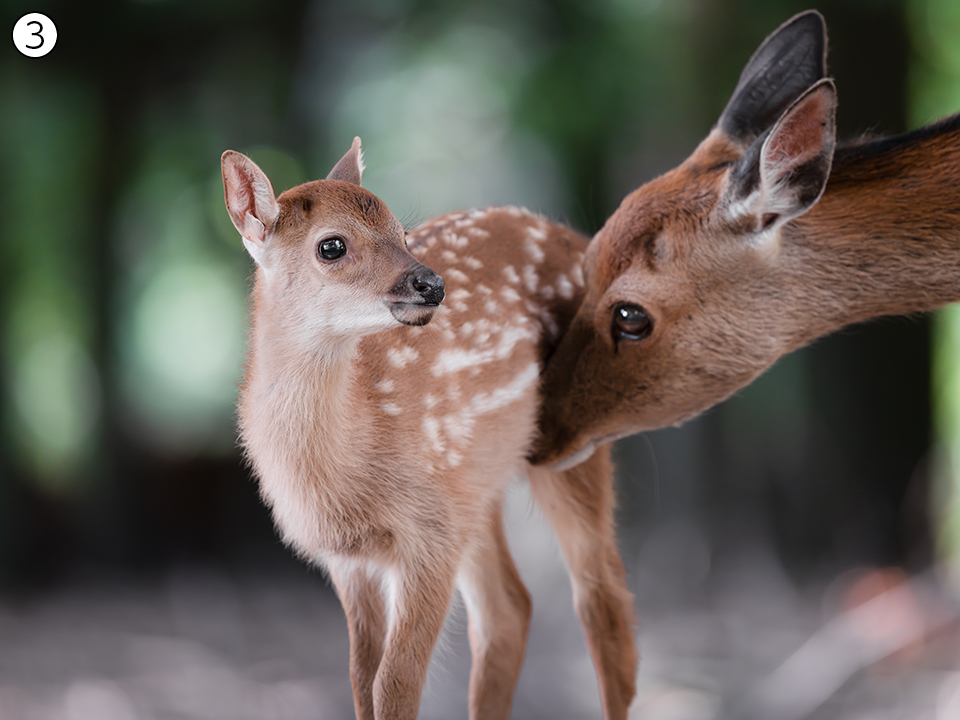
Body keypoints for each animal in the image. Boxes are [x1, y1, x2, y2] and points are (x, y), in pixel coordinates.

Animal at [221, 138, 632, 716]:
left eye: (403, 232)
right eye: (331, 246)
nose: (432, 284)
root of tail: (581, 243)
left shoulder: (430, 532)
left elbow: (394, 682)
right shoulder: (352, 560)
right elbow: (360, 677)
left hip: (573, 438)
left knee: (601, 595)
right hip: (476, 485)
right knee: (509, 609)